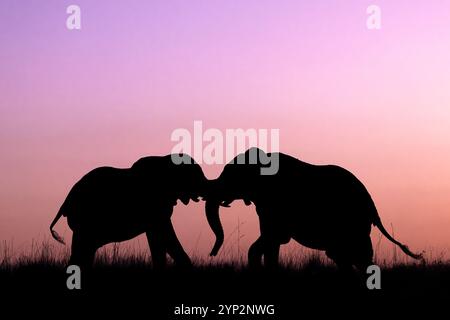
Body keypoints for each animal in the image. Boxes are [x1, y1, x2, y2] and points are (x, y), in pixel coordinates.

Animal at [49, 154, 207, 268]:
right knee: (82, 251)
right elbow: (165, 235)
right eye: (195, 176)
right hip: (85, 220)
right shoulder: (154, 207)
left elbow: (158, 238)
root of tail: (66, 200)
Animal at [206, 148, 424, 270]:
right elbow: (271, 242)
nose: (212, 254)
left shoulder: (277, 203)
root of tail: (373, 206)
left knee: (358, 256)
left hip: (354, 223)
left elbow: (273, 238)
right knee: (342, 257)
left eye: (229, 175)